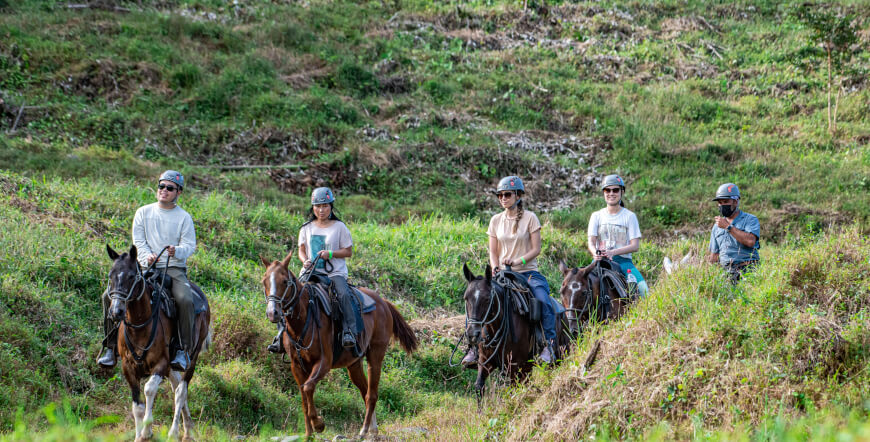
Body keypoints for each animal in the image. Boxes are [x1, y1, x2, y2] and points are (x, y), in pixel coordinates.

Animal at [106, 245, 212, 442]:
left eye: (131, 276)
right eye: (111, 275)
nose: (116, 311)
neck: (140, 325)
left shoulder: (161, 364)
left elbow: (149, 389)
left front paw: (147, 431)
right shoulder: (128, 367)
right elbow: (137, 406)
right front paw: (139, 436)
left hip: (192, 358)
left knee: (180, 392)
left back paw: (175, 432)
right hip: (171, 366)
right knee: (177, 385)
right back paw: (188, 428)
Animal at [260, 254, 418, 436]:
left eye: (285, 281)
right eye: (264, 281)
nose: (272, 313)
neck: (303, 320)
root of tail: (383, 302)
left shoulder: (324, 362)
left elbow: (308, 388)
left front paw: (319, 425)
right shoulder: (296, 365)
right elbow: (304, 398)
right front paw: (308, 434)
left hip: (375, 356)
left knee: (371, 394)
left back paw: (364, 430)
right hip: (354, 364)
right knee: (365, 391)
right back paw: (372, 429)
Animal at [460, 264, 568, 398]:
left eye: (487, 299)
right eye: (466, 298)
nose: (473, 334)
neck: (495, 328)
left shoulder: (514, 366)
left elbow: (513, 390)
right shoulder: (484, 361)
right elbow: (479, 387)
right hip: (528, 365)